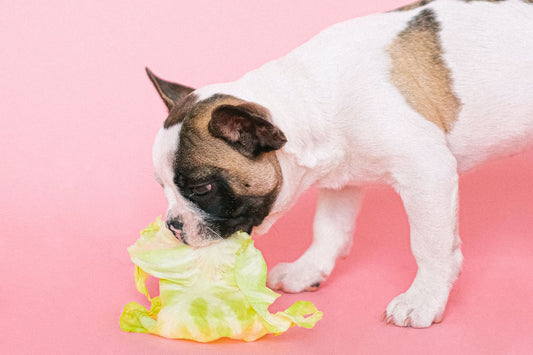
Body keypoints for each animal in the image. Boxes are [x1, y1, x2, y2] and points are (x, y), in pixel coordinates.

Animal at [147, 0, 532, 328]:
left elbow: (429, 244)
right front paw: (308, 269)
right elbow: (328, 228)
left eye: (202, 188)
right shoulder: (340, 183)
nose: (173, 225)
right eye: (163, 187)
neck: (309, 99)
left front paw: (423, 298)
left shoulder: (427, 172)